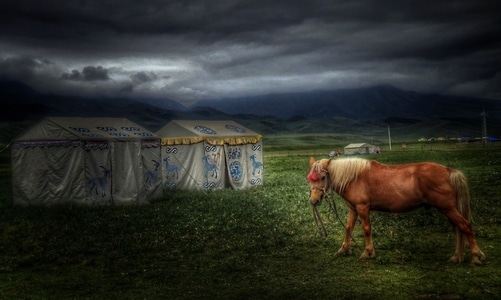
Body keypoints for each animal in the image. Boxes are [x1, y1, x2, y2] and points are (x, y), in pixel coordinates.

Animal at [304, 157, 484, 264]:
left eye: (323, 177)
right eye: (309, 178)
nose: (314, 201)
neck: (354, 177)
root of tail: (448, 171)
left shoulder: (363, 208)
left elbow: (366, 229)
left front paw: (368, 253)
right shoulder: (353, 209)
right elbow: (348, 228)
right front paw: (343, 250)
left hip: (448, 209)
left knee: (465, 226)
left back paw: (476, 256)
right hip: (448, 210)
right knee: (458, 230)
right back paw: (457, 256)